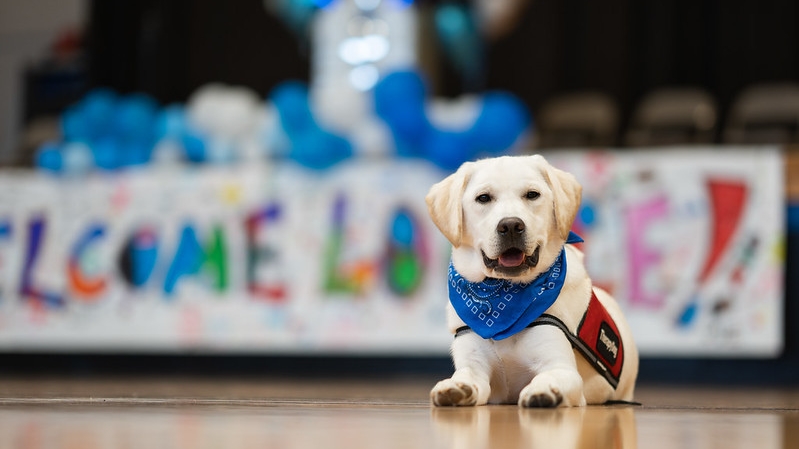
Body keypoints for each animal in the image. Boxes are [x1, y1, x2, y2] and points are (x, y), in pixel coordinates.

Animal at [428, 156, 640, 408]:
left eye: (532, 194)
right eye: (483, 198)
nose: (510, 225)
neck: (504, 296)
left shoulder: (560, 366)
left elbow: (550, 375)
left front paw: (545, 390)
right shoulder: (474, 362)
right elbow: (467, 375)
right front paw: (456, 387)